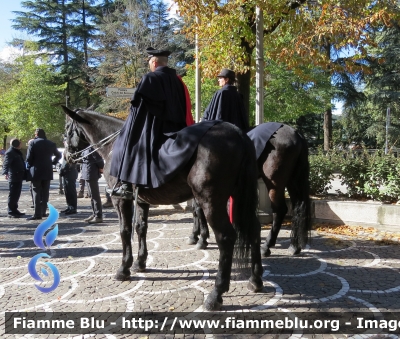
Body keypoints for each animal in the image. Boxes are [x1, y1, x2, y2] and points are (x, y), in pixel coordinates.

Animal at [61, 106, 262, 310]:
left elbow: (125, 231)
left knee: (225, 237)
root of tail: (237, 133)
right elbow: (140, 228)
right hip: (240, 197)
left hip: (211, 201)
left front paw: (124, 268)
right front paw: (140, 262)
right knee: (254, 230)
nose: (66, 158)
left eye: (67, 130)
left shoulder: (120, 200)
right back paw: (255, 279)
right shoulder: (141, 200)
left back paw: (216, 293)